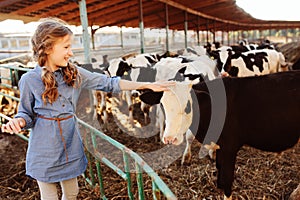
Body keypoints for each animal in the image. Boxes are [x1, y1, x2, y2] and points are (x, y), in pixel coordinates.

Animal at [140, 70, 300, 198]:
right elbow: (219, 169)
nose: (169, 138)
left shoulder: (230, 147)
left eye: (188, 106)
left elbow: (227, 178)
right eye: (162, 105)